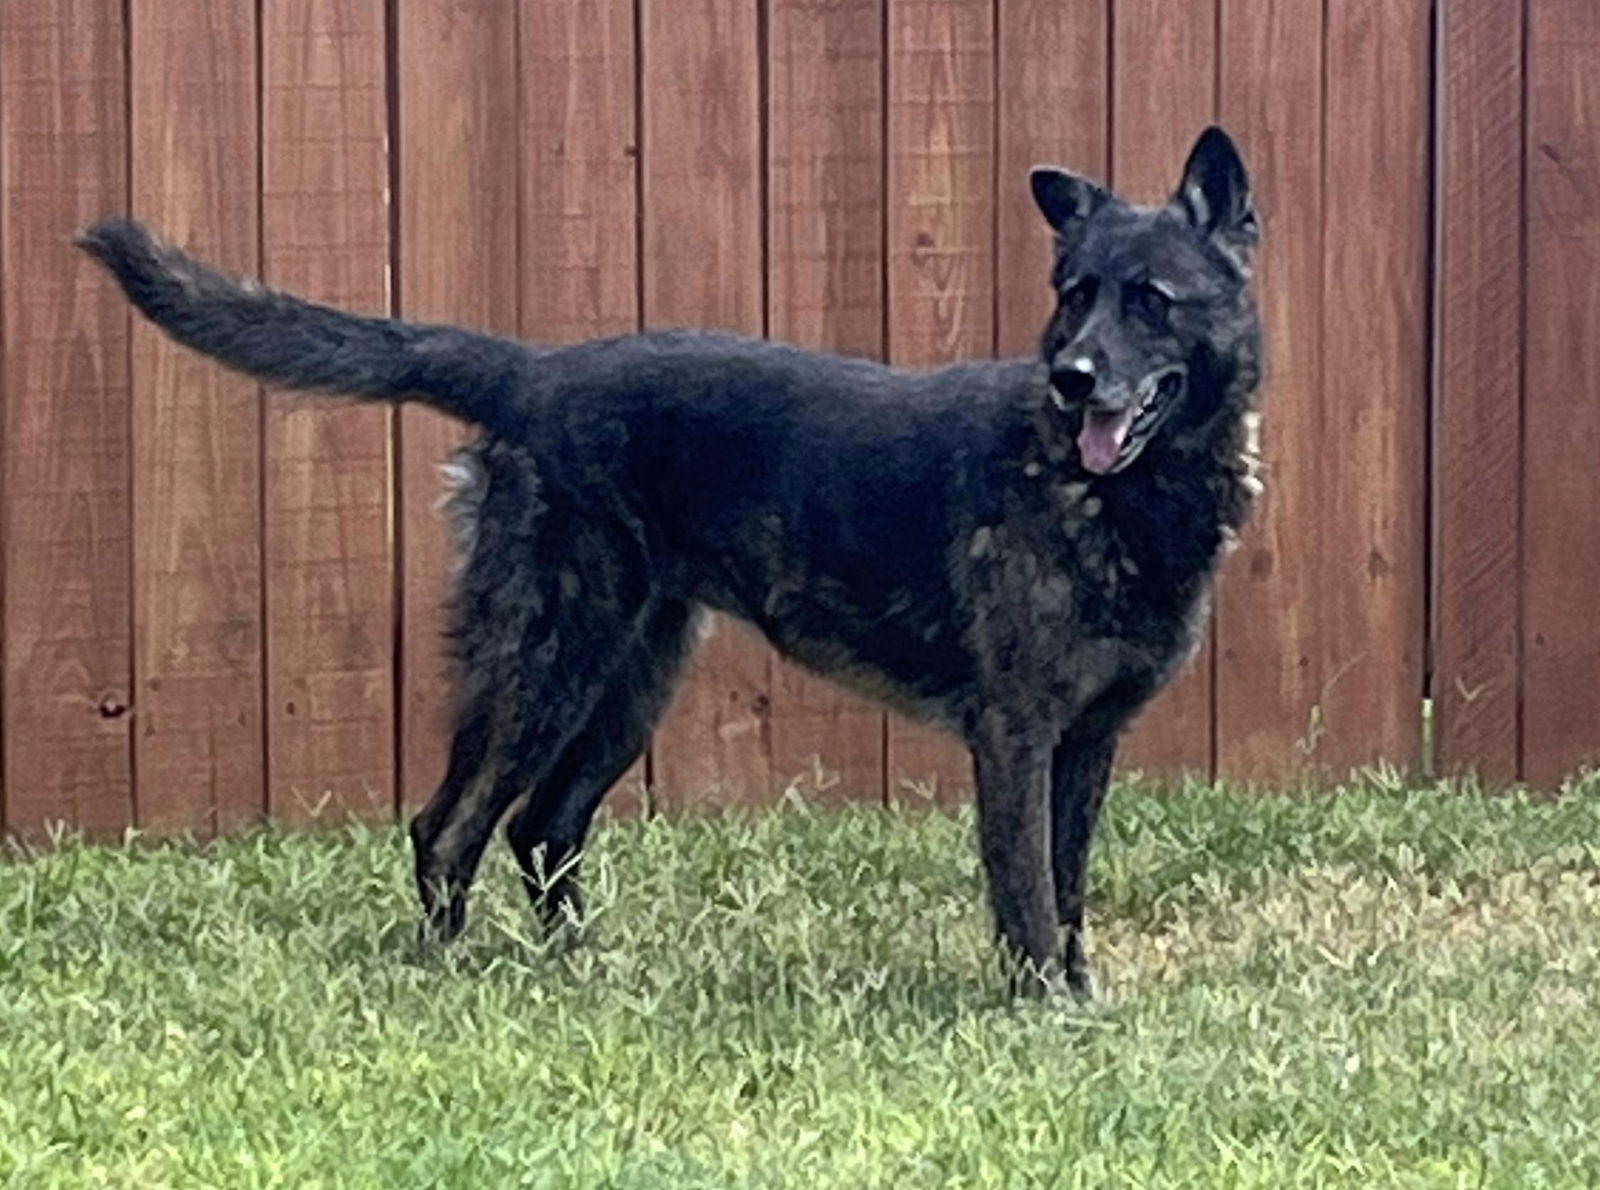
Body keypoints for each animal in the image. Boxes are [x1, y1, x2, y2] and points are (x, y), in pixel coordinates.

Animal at [81, 123, 1260, 991]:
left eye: (1150, 300)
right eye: (1074, 294)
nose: (1072, 379)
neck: (1104, 490)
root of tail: (530, 375)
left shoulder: (1086, 742)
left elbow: (1067, 889)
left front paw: (1078, 998)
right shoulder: (1013, 737)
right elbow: (1026, 891)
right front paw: (1038, 1010)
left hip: (629, 683)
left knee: (542, 826)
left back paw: (586, 971)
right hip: (548, 668)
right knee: (449, 825)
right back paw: (450, 979)